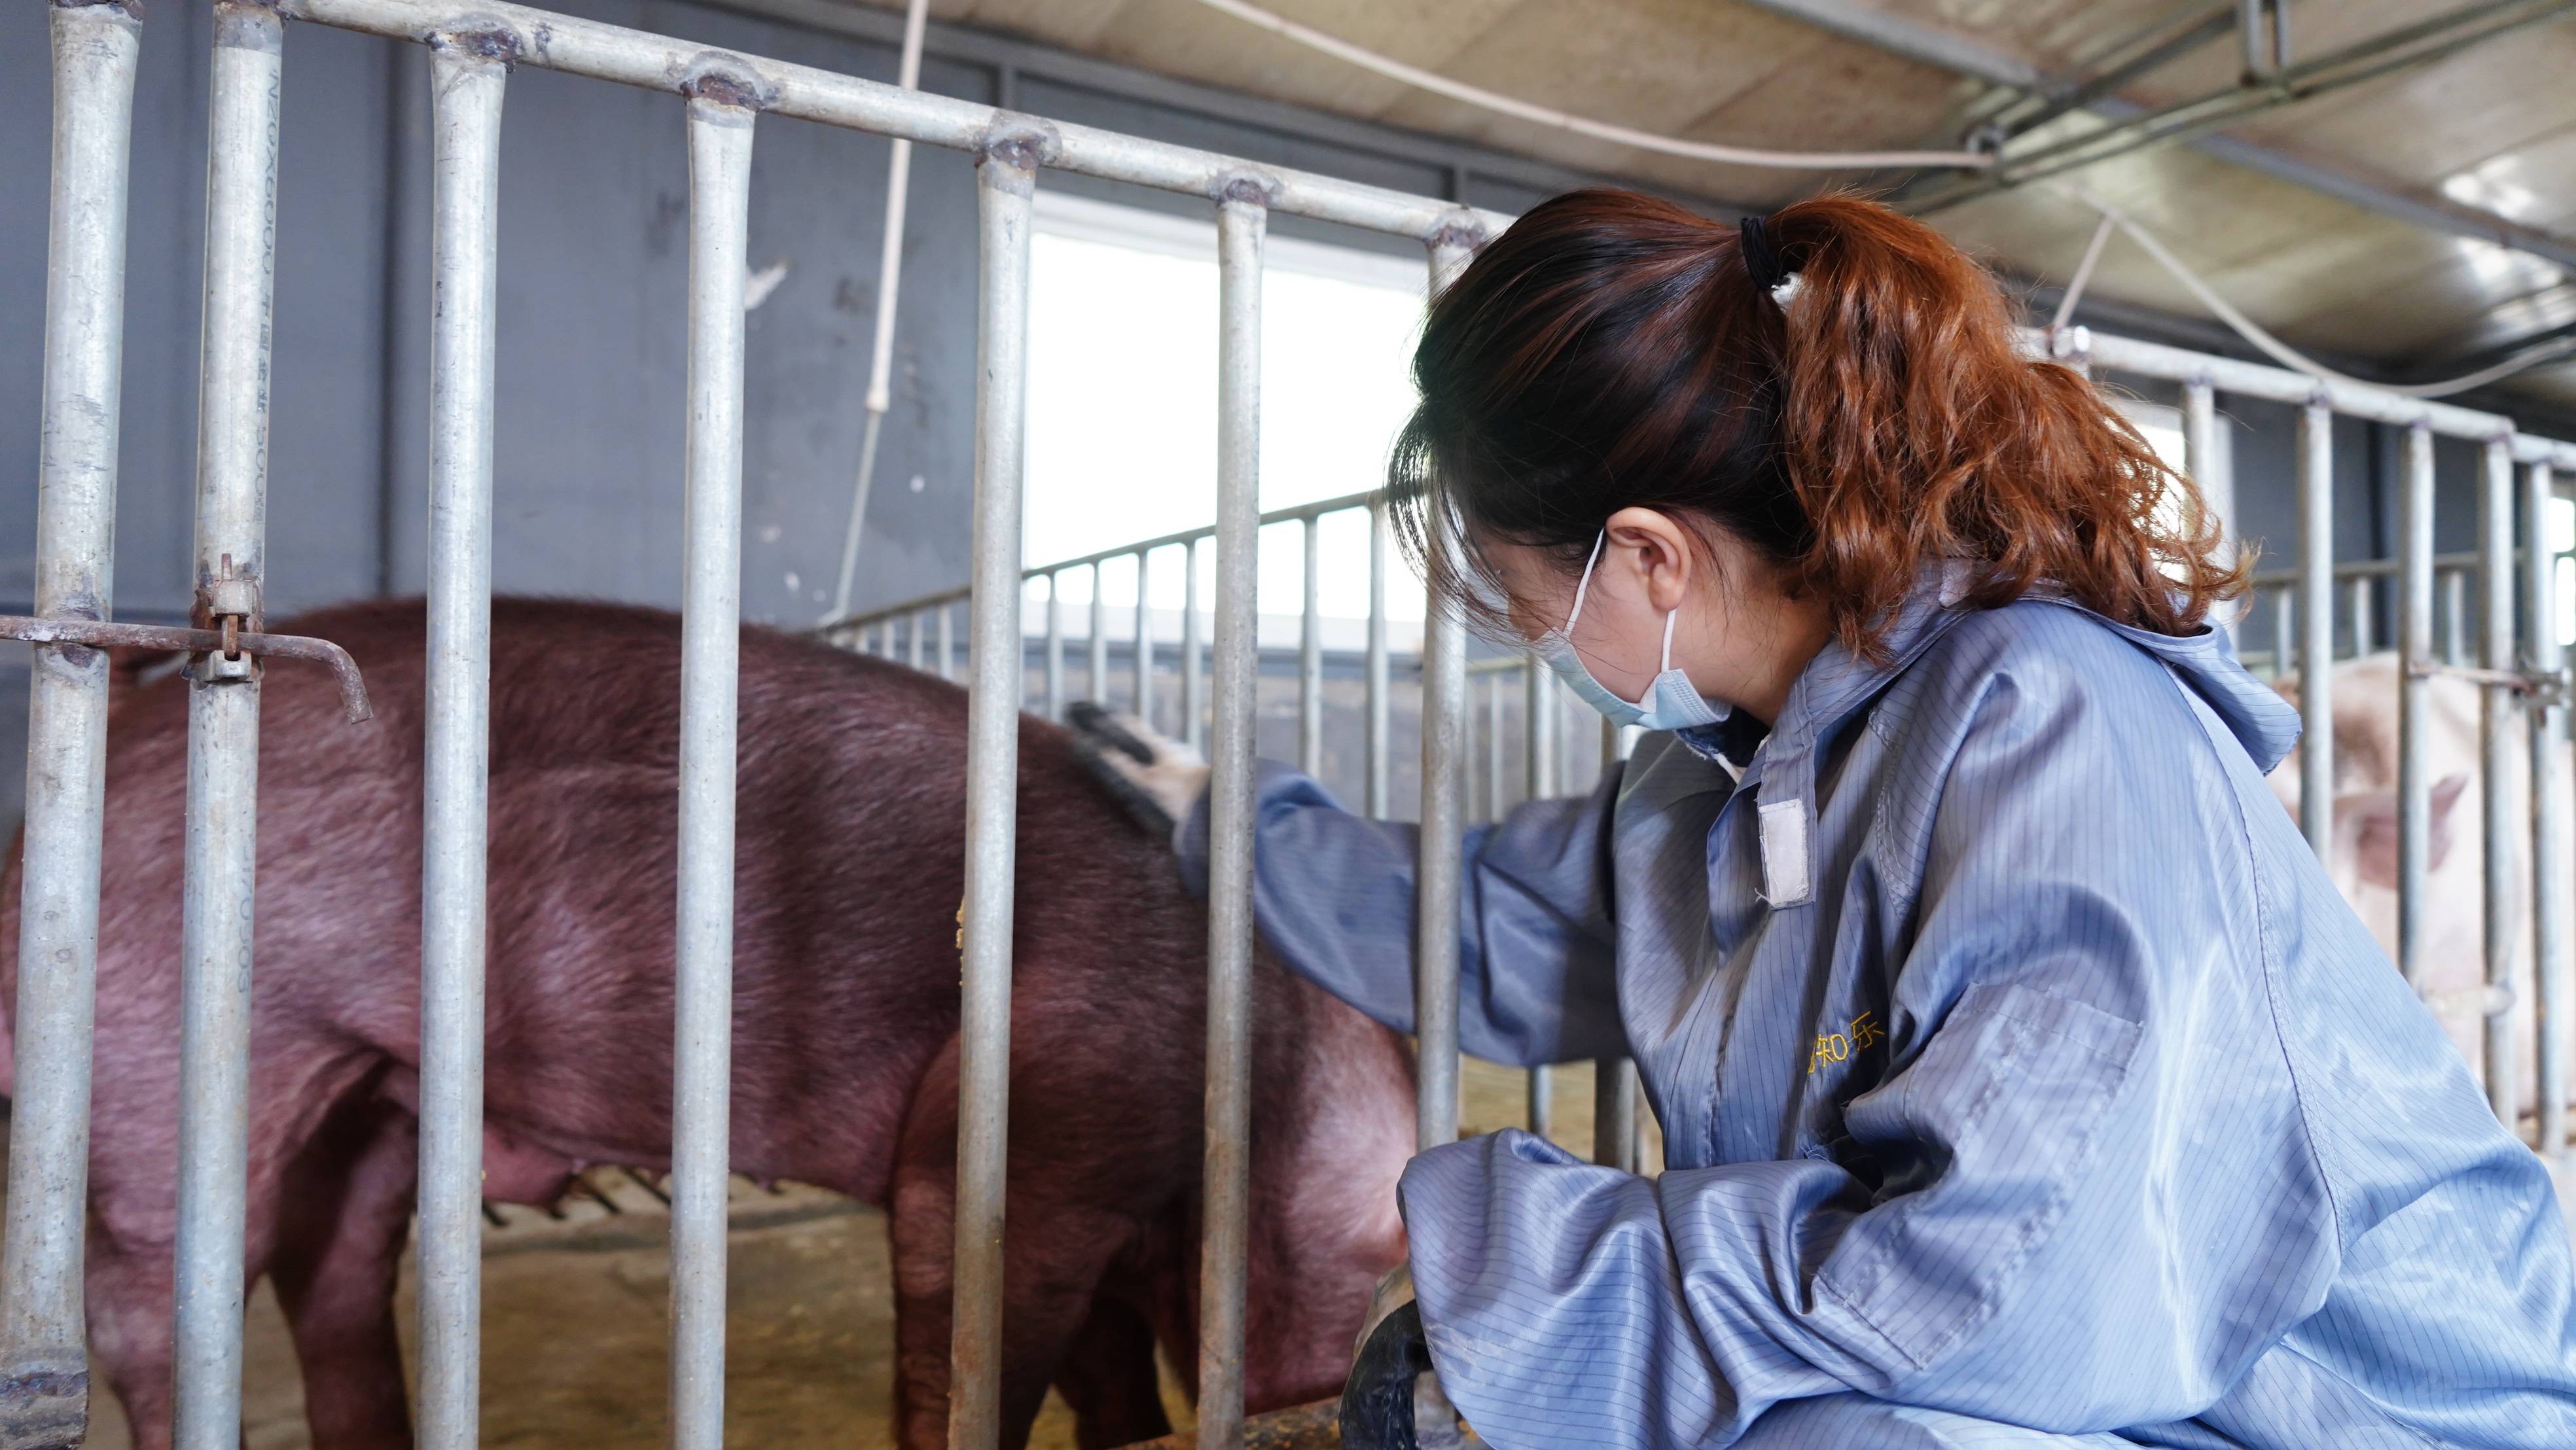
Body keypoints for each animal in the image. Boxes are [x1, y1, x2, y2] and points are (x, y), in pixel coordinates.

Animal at [0, 597, 1411, 1450]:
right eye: (1373, 1249)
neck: (1263, 1065)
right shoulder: (1040, 1113)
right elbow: (974, 1340)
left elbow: (1110, 1374)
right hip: (172, 1047)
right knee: (162, 1301)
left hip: (378, 1083)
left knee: (334, 1266)